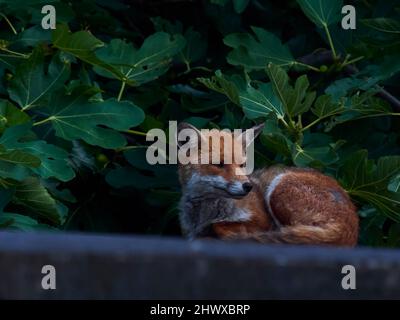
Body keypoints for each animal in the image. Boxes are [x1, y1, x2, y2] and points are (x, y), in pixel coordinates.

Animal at [177, 122, 358, 245]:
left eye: (242, 165)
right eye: (218, 164)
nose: (248, 186)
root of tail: (352, 225)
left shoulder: (262, 220)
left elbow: (227, 227)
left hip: (278, 188)